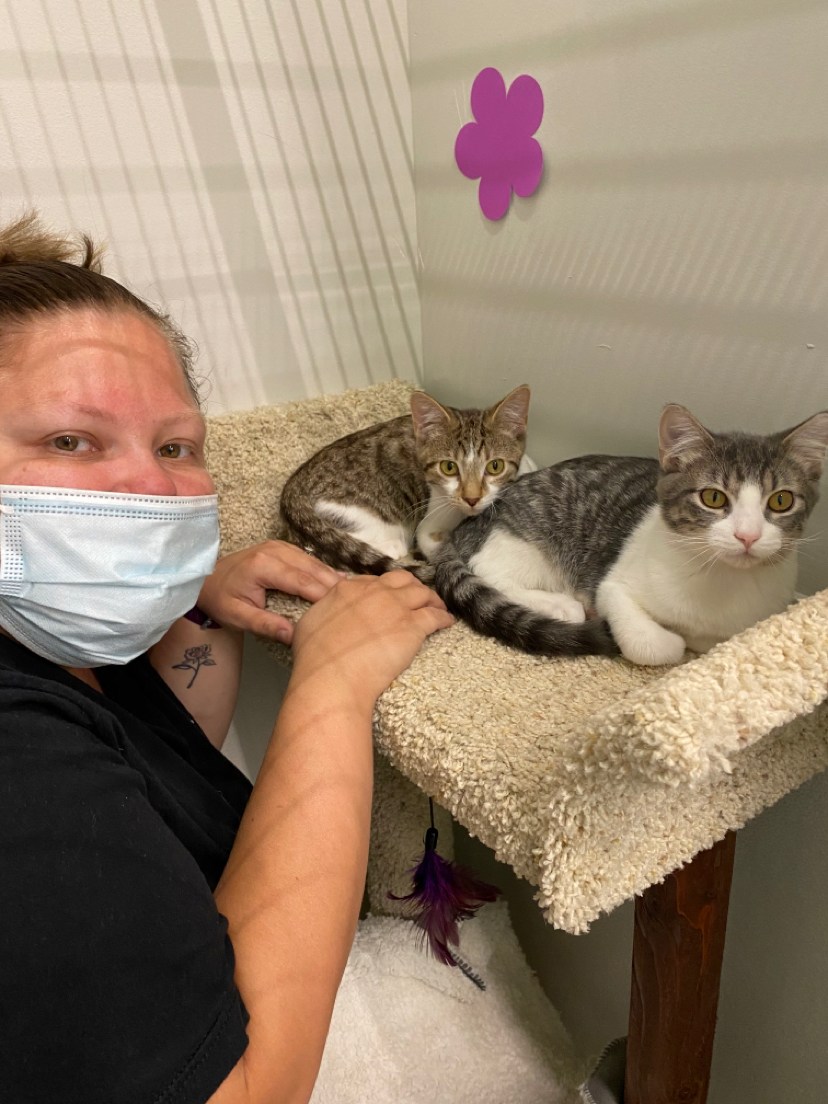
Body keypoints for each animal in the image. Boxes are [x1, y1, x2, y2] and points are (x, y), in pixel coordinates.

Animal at [433, 403, 828, 665]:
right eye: (713, 498)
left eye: (781, 500)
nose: (748, 536)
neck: (722, 582)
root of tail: (474, 519)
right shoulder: (612, 586)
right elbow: (652, 645)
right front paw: (672, 640)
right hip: (525, 540)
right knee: (488, 569)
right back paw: (561, 605)